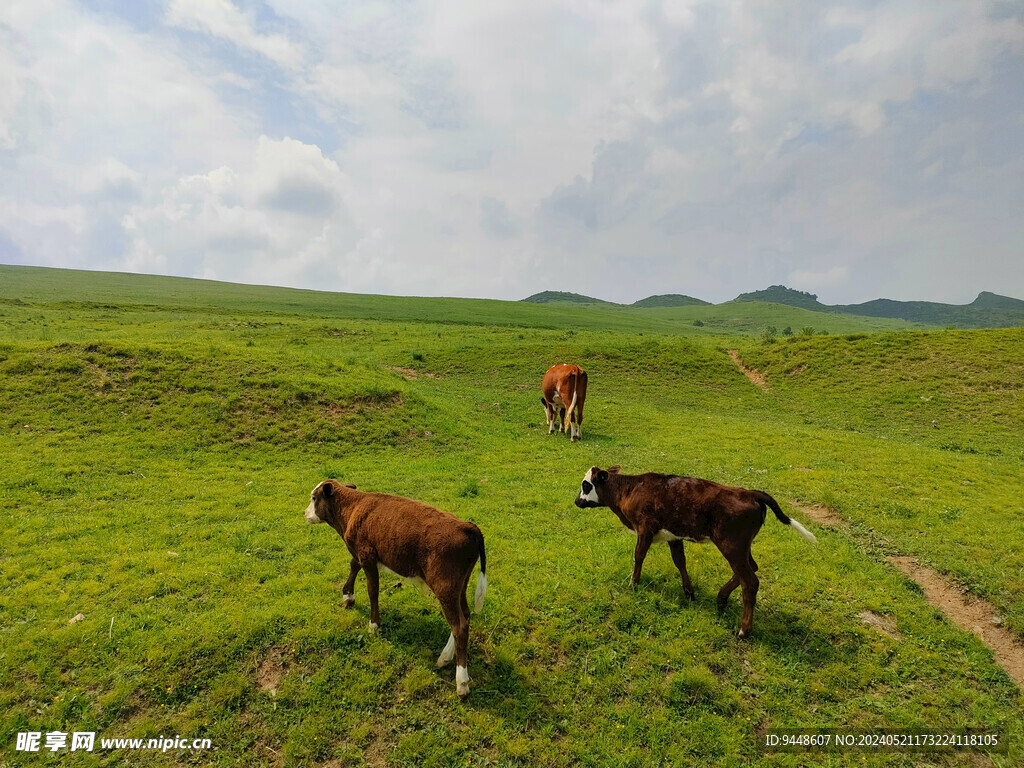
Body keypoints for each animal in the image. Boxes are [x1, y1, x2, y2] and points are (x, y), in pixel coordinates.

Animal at [303, 481, 487, 696]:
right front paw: (348, 596)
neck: (353, 507)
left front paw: (373, 624)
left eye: (314, 498)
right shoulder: (361, 554)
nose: (305, 513)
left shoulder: (367, 556)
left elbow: (372, 591)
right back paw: (445, 657)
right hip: (460, 585)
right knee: (465, 615)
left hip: (445, 588)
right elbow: (353, 565)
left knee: (459, 626)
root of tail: (467, 526)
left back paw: (462, 682)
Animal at [577, 468, 815, 638]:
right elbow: (679, 561)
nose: (576, 501)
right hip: (742, 547)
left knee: (750, 580)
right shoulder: (674, 536)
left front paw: (633, 583)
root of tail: (749, 492)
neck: (630, 490)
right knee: (751, 569)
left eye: (586, 485)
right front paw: (689, 592)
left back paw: (744, 630)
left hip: (732, 545)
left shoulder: (645, 529)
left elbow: (639, 556)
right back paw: (721, 598)